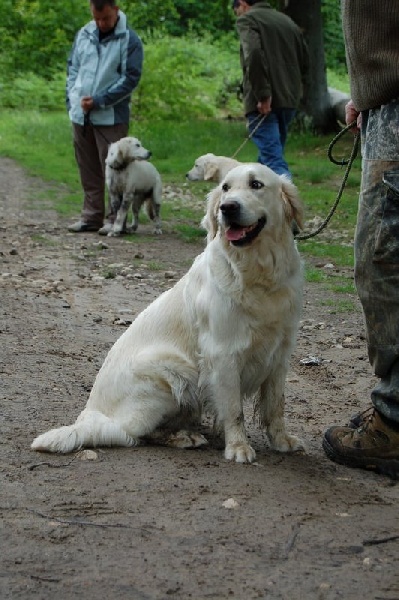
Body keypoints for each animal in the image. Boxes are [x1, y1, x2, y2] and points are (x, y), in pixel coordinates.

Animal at [32, 164, 306, 464]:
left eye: (256, 184)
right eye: (225, 188)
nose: (227, 208)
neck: (258, 272)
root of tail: (92, 414)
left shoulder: (279, 353)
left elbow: (275, 406)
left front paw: (282, 441)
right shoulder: (223, 353)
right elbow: (234, 410)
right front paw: (238, 447)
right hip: (170, 372)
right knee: (133, 434)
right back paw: (183, 437)